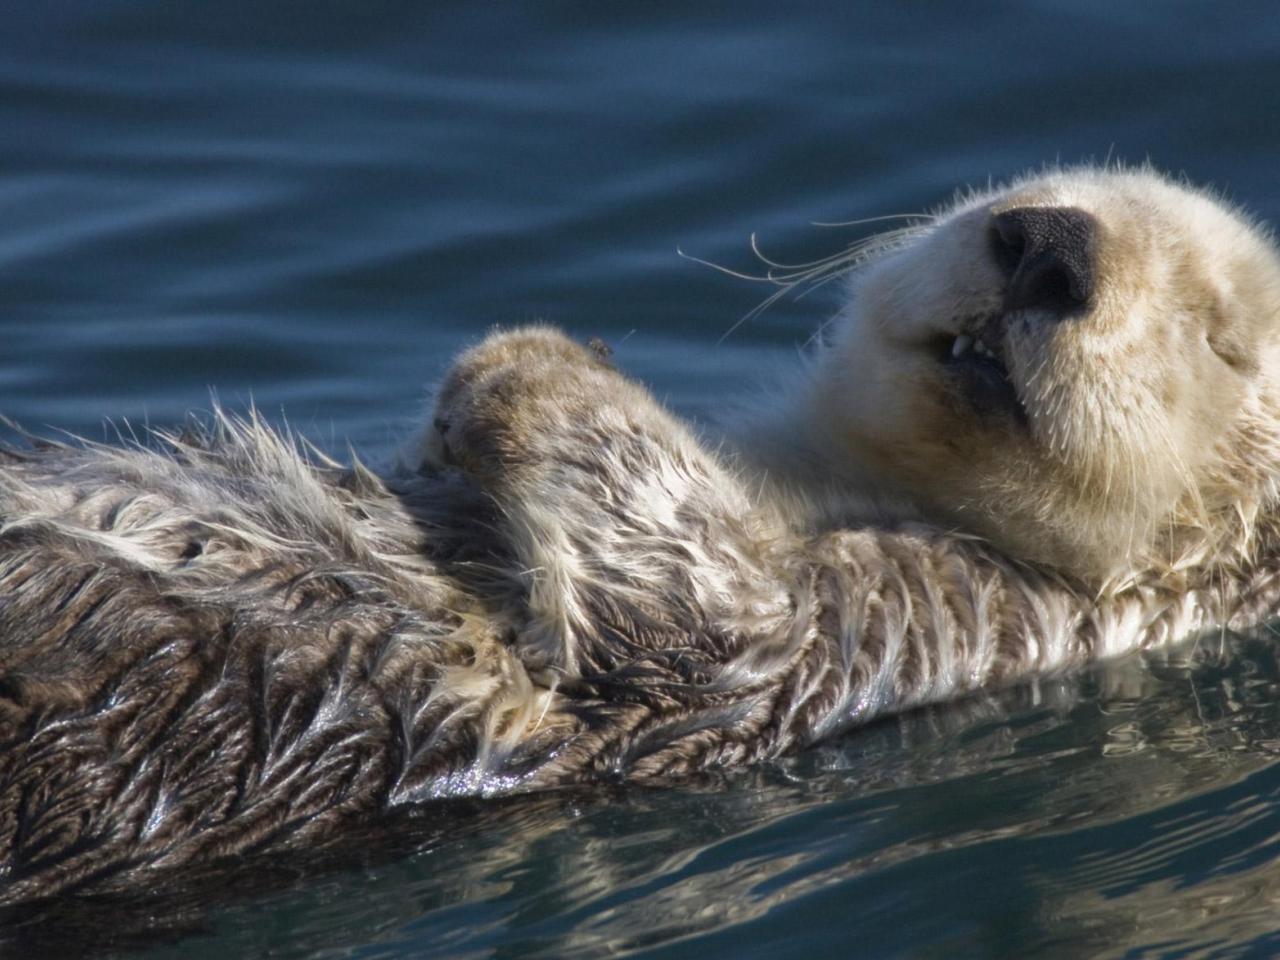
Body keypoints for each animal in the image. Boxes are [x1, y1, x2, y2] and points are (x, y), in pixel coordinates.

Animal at [2, 163, 1280, 901]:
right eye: (1051, 188)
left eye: (1218, 339)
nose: (1050, 245)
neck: (819, 480)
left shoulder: (909, 622)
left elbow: (692, 603)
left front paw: (521, 362)